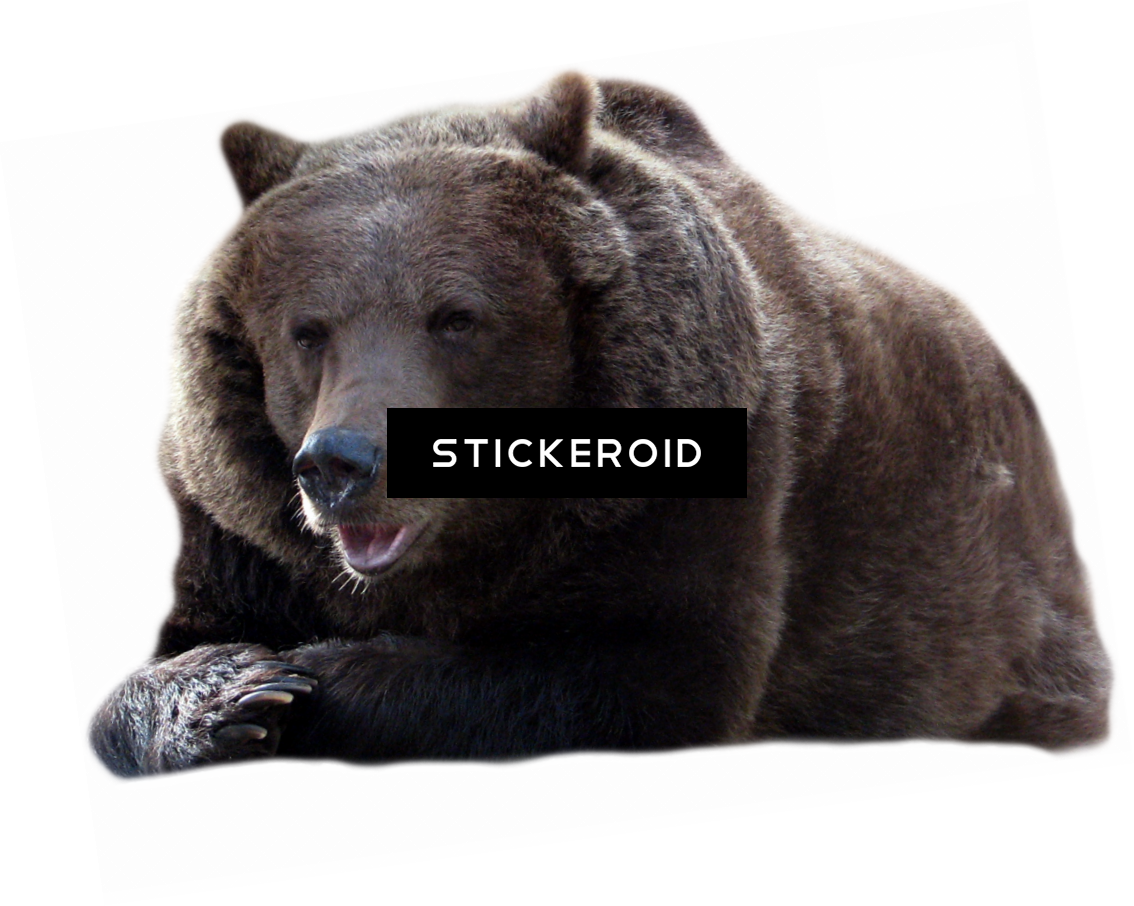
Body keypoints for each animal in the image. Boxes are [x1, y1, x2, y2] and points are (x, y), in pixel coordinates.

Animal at [81, 64, 1120, 785]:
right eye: (307, 331)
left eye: (455, 318)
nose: (341, 463)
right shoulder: (234, 522)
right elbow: (127, 685)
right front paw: (233, 688)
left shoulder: (688, 483)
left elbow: (629, 677)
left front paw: (310, 678)